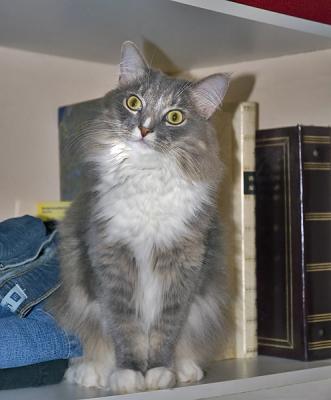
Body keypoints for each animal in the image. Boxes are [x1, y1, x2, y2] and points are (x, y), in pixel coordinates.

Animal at [47, 41, 231, 394]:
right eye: (134, 102)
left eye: (175, 117)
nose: (144, 129)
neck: (147, 178)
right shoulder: (110, 261)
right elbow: (124, 328)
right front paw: (129, 374)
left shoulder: (183, 268)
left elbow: (165, 329)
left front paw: (159, 372)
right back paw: (92, 373)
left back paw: (185, 370)